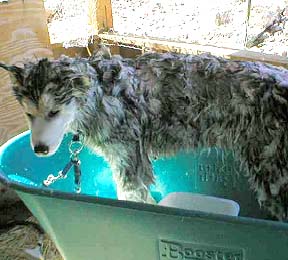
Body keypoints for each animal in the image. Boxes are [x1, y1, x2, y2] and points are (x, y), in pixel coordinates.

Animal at [1, 50, 288, 219]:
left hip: (272, 173)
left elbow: (130, 196)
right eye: (28, 114)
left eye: (54, 112)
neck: (100, 95)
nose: (39, 150)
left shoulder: (128, 160)